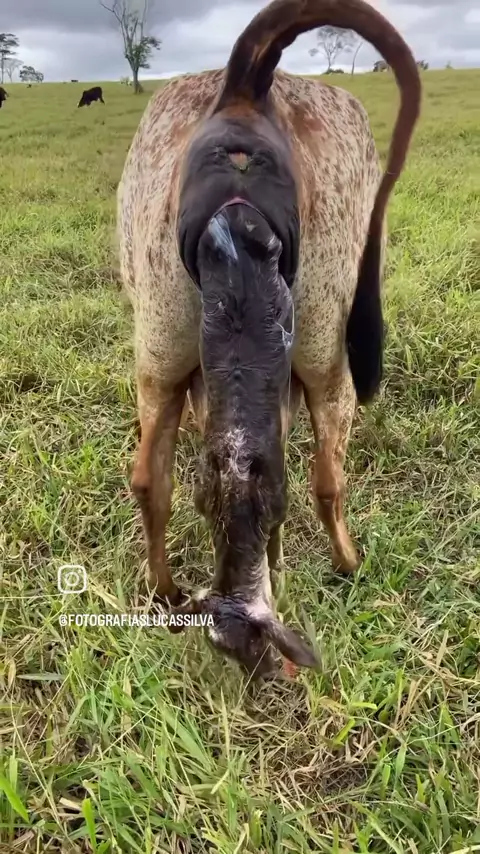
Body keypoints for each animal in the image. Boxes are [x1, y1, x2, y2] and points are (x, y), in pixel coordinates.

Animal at [117, 0, 421, 680]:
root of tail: (244, 88)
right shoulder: (313, 372)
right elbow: (325, 481)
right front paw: (343, 564)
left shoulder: (171, 365)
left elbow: (154, 480)